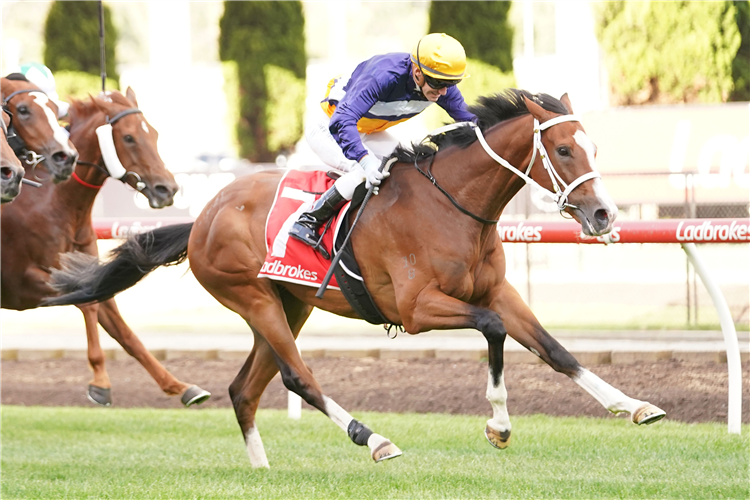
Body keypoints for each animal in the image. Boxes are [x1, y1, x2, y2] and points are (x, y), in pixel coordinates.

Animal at [1, 78, 212, 406]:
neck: (55, 203)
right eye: (128, 137)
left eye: (153, 133)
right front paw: (100, 382)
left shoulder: (94, 273)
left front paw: (180, 385)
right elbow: (88, 306)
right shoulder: (22, 283)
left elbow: (124, 331)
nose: (167, 189)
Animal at [45, 91, 664, 468]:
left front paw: (633, 405)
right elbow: (492, 330)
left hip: (288, 304)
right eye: (562, 149)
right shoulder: (417, 310)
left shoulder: (496, 291)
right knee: (299, 378)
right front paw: (499, 424)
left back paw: (262, 468)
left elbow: (555, 349)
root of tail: (204, 215)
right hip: (252, 298)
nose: (605, 215)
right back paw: (374, 439)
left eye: (593, 147)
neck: (453, 203)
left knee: (245, 388)